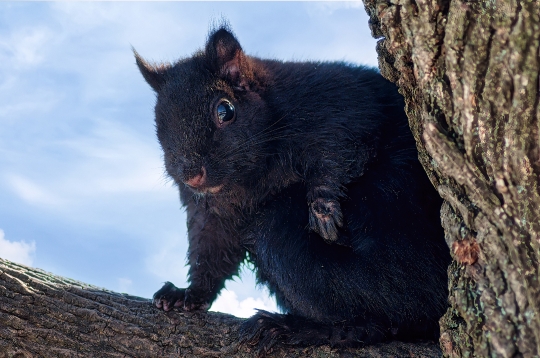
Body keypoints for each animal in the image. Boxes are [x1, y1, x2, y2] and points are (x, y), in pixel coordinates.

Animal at [136, 25, 452, 352]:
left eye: (225, 110)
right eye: (158, 122)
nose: (191, 175)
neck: (246, 182)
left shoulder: (337, 105)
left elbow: (343, 147)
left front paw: (323, 206)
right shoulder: (207, 211)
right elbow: (209, 249)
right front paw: (189, 293)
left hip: (388, 221)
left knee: (398, 308)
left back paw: (305, 329)